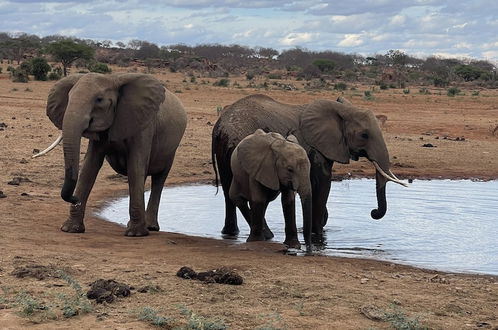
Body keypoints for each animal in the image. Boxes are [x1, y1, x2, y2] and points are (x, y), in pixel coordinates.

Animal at [42, 72, 187, 237]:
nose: (75, 198)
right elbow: (89, 167)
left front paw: (135, 234)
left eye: (99, 100)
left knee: (159, 178)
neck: (113, 79)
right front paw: (71, 229)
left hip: (171, 149)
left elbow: (135, 166)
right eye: (69, 97)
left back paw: (149, 227)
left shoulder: (143, 125)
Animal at [212, 94, 406, 238]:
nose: (373, 212)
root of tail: (219, 126)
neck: (342, 110)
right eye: (364, 135)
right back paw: (266, 235)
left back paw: (230, 233)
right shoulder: (317, 147)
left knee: (228, 188)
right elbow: (323, 183)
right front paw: (318, 235)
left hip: (226, 150)